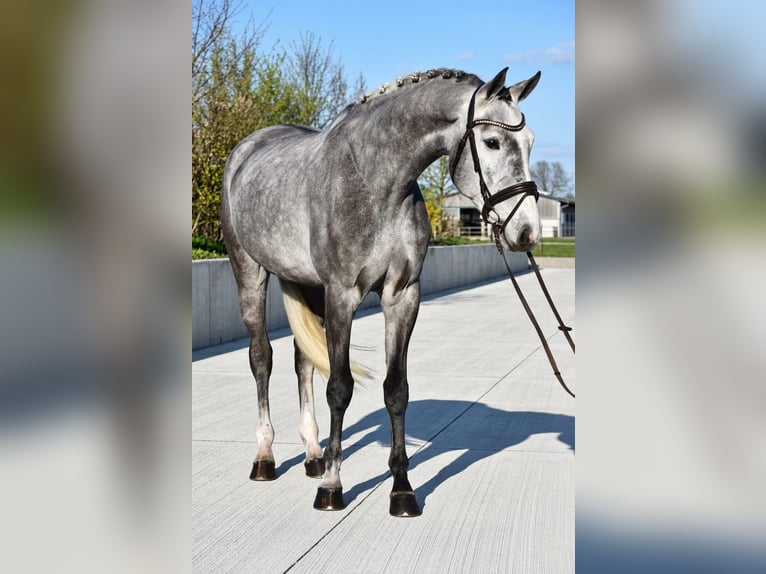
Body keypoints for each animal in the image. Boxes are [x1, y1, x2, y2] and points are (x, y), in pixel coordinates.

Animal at [221, 67, 543, 516]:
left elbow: (397, 389)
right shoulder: (342, 296)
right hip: (249, 271)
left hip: (305, 284)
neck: (375, 182)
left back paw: (313, 454)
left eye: (530, 141)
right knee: (261, 358)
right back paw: (265, 458)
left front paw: (402, 489)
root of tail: (247, 148)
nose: (526, 232)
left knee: (303, 361)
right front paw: (332, 488)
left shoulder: (402, 295)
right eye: (493, 141)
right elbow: (339, 388)